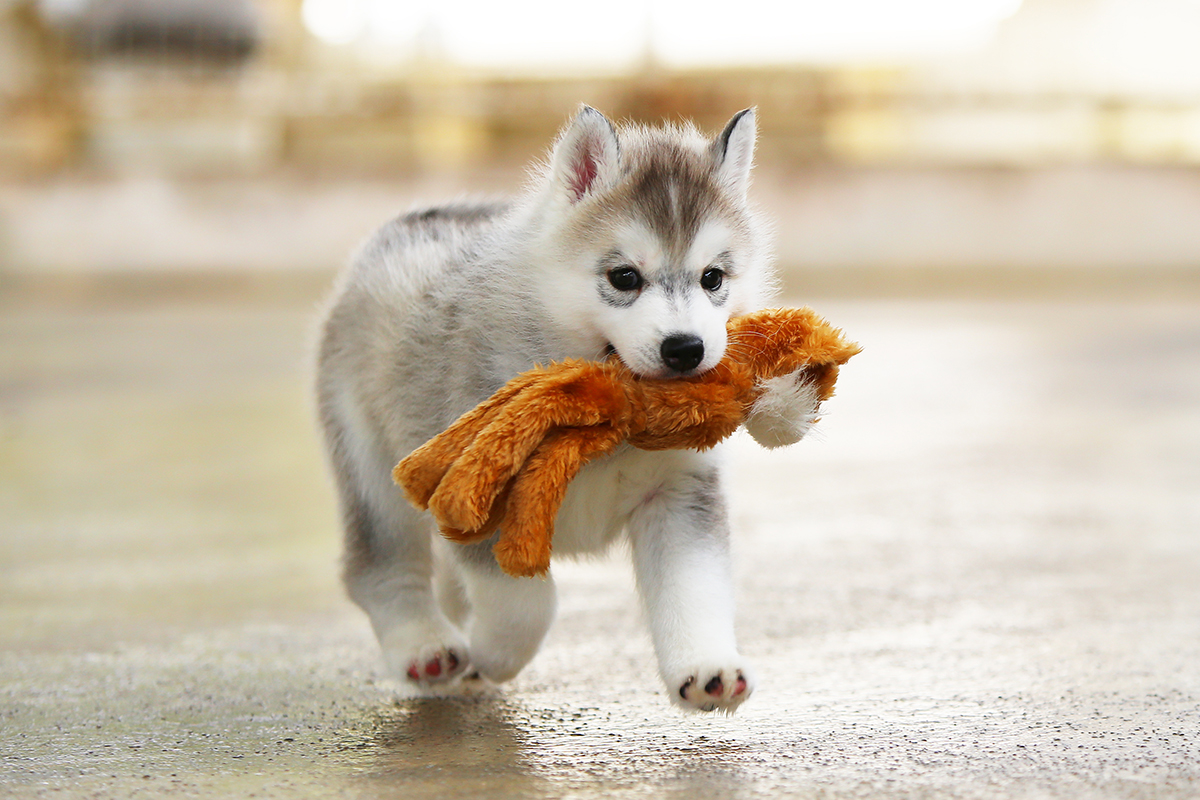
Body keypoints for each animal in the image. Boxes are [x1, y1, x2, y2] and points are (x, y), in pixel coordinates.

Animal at [314, 106, 811, 714]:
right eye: (624, 277)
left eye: (712, 277)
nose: (686, 348)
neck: (611, 421)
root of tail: (411, 223)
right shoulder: (484, 496)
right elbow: (527, 606)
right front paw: (490, 656)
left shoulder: (678, 494)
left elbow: (694, 588)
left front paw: (706, 668)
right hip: (371, 464)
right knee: (380, 565)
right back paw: (425, 646)